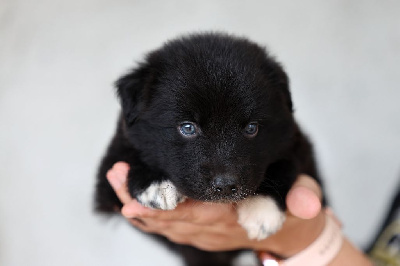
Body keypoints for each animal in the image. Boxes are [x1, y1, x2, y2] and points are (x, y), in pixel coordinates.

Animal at [95, 32, 324, 264]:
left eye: (252, 128)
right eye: (188, 127)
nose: (225, 186)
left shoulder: (296, 143)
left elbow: (283, 164)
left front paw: (262, 210)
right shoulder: (108, 178)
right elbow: (127, 152)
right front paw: (156, 185)